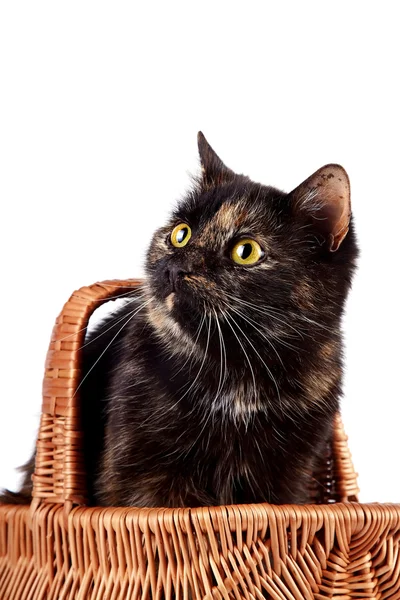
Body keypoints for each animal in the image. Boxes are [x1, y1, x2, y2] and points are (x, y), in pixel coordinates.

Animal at [0, 134, 358, 508]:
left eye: (246, 251)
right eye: (180, 234)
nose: (176, 267)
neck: (236, 370)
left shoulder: (288, 480)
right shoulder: (140, 478)